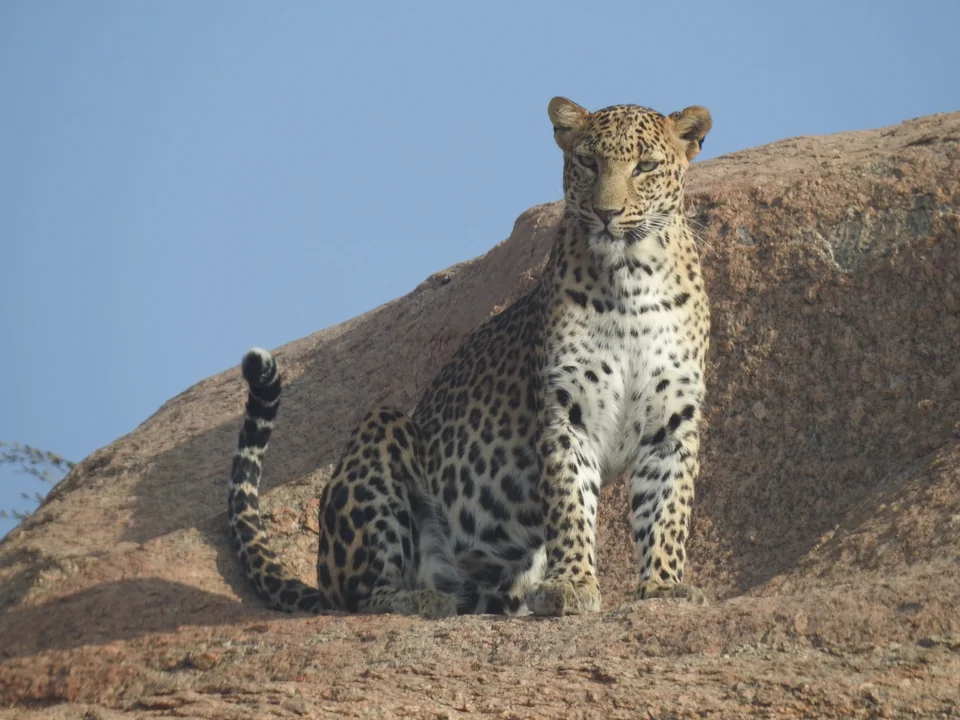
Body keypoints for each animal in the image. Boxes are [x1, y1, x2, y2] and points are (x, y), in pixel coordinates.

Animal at [227, 96, 713, 618]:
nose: (606, 213)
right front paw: (571, 582)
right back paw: (421, 599)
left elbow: (667, 510)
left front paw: (663, 586)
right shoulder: (565, 411)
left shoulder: (671, 420)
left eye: (645, 167)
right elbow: (570, 503)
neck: (632, 281)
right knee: (360, 595)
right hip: (382, 434)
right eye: (587, 162)